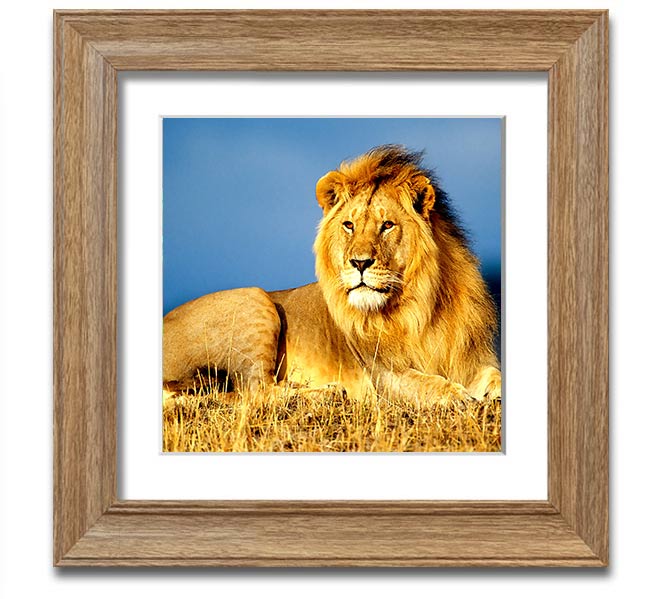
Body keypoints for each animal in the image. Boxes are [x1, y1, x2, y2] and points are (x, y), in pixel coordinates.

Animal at [163, 145, 501, 404]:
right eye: (349, 225)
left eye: (387, 225)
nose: (360, 263)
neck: (421, 306)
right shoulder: (384, 374)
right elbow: (428, 384)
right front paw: (460, 397)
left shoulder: (474, 359)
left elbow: (495, 375)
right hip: (253, 299)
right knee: (255, 391)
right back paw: (328, 392)